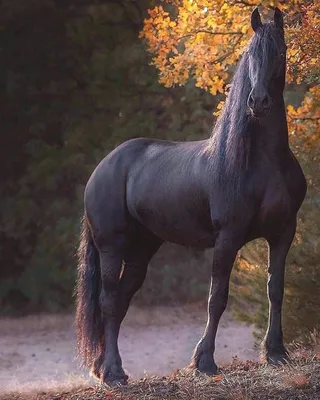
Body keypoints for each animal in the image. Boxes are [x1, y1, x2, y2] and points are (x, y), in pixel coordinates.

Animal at [75, 7, 308, 384]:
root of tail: (103, 167)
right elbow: (217, 298)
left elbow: (276, 289)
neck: (263, 163)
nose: (258, 102)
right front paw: (205, 361)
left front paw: (275, 353)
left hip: (141, 250)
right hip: (111, 247)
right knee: (108, 302)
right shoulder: (227, 237)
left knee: (120, 302)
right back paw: (112, 374)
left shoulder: (284, 232)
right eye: (251, 55)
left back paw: (108, 368)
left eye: (282, 53)